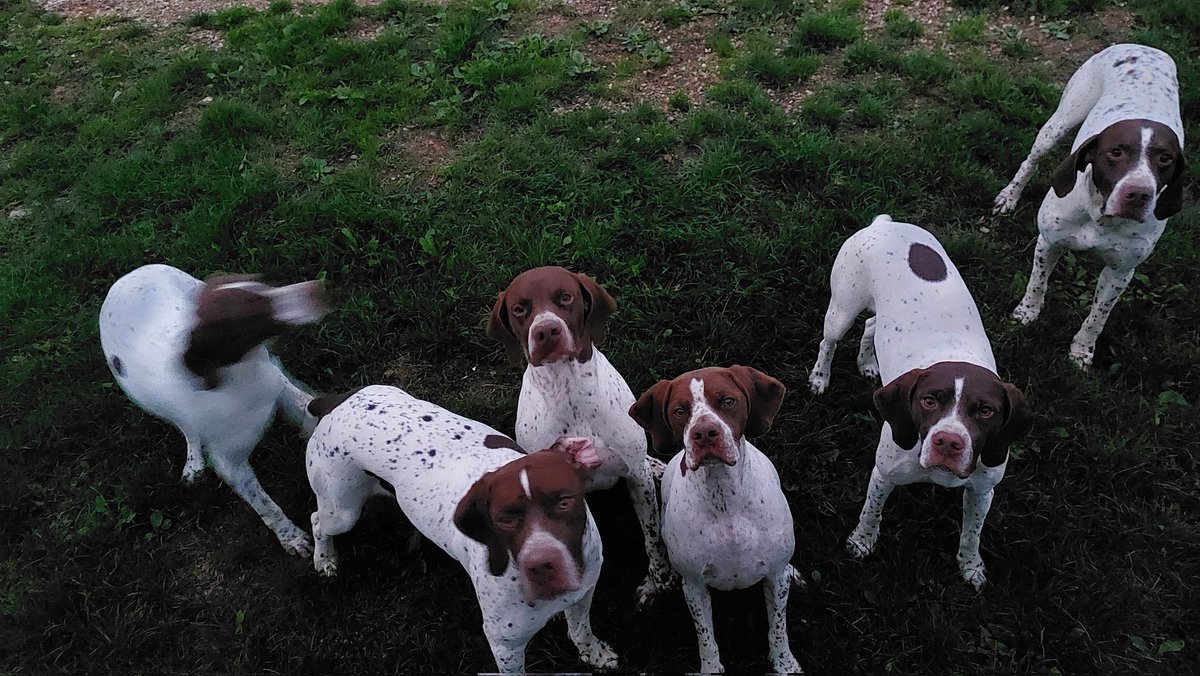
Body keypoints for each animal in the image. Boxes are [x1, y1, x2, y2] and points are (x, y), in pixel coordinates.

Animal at [99, 262, 326, 554]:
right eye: (255, 313)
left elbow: (310, 411)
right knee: (185, 426)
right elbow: (266, 505)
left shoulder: (279, 388)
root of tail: (126, 277)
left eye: (263, 285)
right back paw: (194, 460)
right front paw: (291, 537)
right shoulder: (230, 462)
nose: (318, 289)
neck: (239, 376)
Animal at [304, 386, 619, 676]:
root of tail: (334, 402)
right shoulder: (505, 645)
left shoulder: (583, 593)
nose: (543, 565)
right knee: (317, 519)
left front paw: (594, 653)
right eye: (504, 519)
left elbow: (580, 630)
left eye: (564, 501)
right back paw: (325, 559)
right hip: (342, 510)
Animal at [489, 267, 676, 605]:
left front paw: (659, 580)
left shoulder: (637, 479)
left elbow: (652, 536)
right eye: (520, 309)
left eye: (565, 297)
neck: (567, 388)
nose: (547, 331)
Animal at [628, 367, 806, 672]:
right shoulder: (694, 586)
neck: (725, 500)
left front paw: (785, 665)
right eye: (680, 411)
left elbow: (777, 628)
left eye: (727, 401)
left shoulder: (774, 577)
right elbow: (706, 637)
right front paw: (710, 668)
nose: (704, 433)